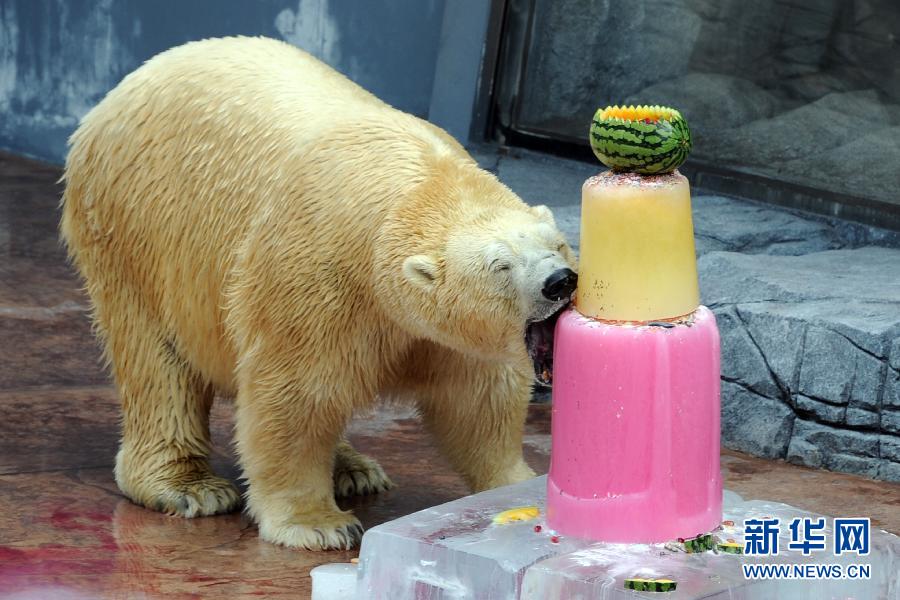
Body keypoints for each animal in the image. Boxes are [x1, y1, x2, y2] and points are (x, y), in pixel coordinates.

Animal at [60, 36, 577, 550]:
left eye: (558, 244)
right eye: (500, 265)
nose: (560, 280)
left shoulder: (440, 329)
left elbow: (478, 398)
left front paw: (516, 484)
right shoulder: (316, 272)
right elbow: (296, 394)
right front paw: (319, 524)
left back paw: (354, 470)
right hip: (133, 228)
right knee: (156, 359)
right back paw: (190, 486)